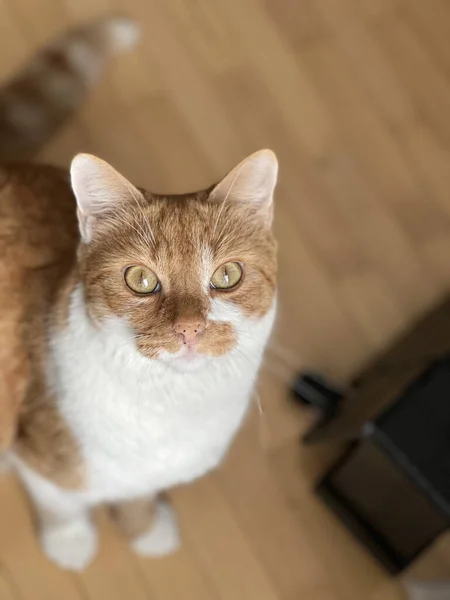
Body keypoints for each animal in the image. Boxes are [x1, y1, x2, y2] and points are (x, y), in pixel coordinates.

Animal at [0, 17, 278, 572]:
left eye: (227, 275)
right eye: (141, 281)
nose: (190, 328)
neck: (171, 409)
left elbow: (136, 497)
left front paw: (144, 529)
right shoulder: (37, 457)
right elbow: (62, 502)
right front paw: (71, 543)